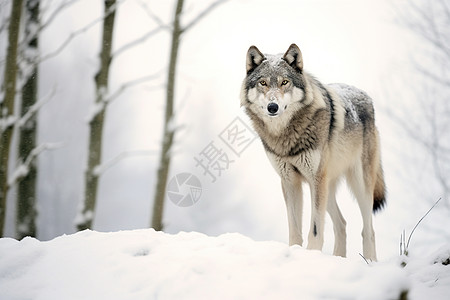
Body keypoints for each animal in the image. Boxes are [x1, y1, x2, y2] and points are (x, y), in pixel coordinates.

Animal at [241, 43, 384, 262]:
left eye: (285, 82)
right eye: (263, 83)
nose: (272, 107)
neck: (286, 137)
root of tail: (365, 95)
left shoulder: (315, 180)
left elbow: (315, 229)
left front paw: (311, 255)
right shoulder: (289, 181)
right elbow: (294, 228)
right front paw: (295, 253)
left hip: (358, 186)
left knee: (368, 230)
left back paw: (370, 262)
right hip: (327, 187)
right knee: (341, 224)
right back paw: (338, 258)